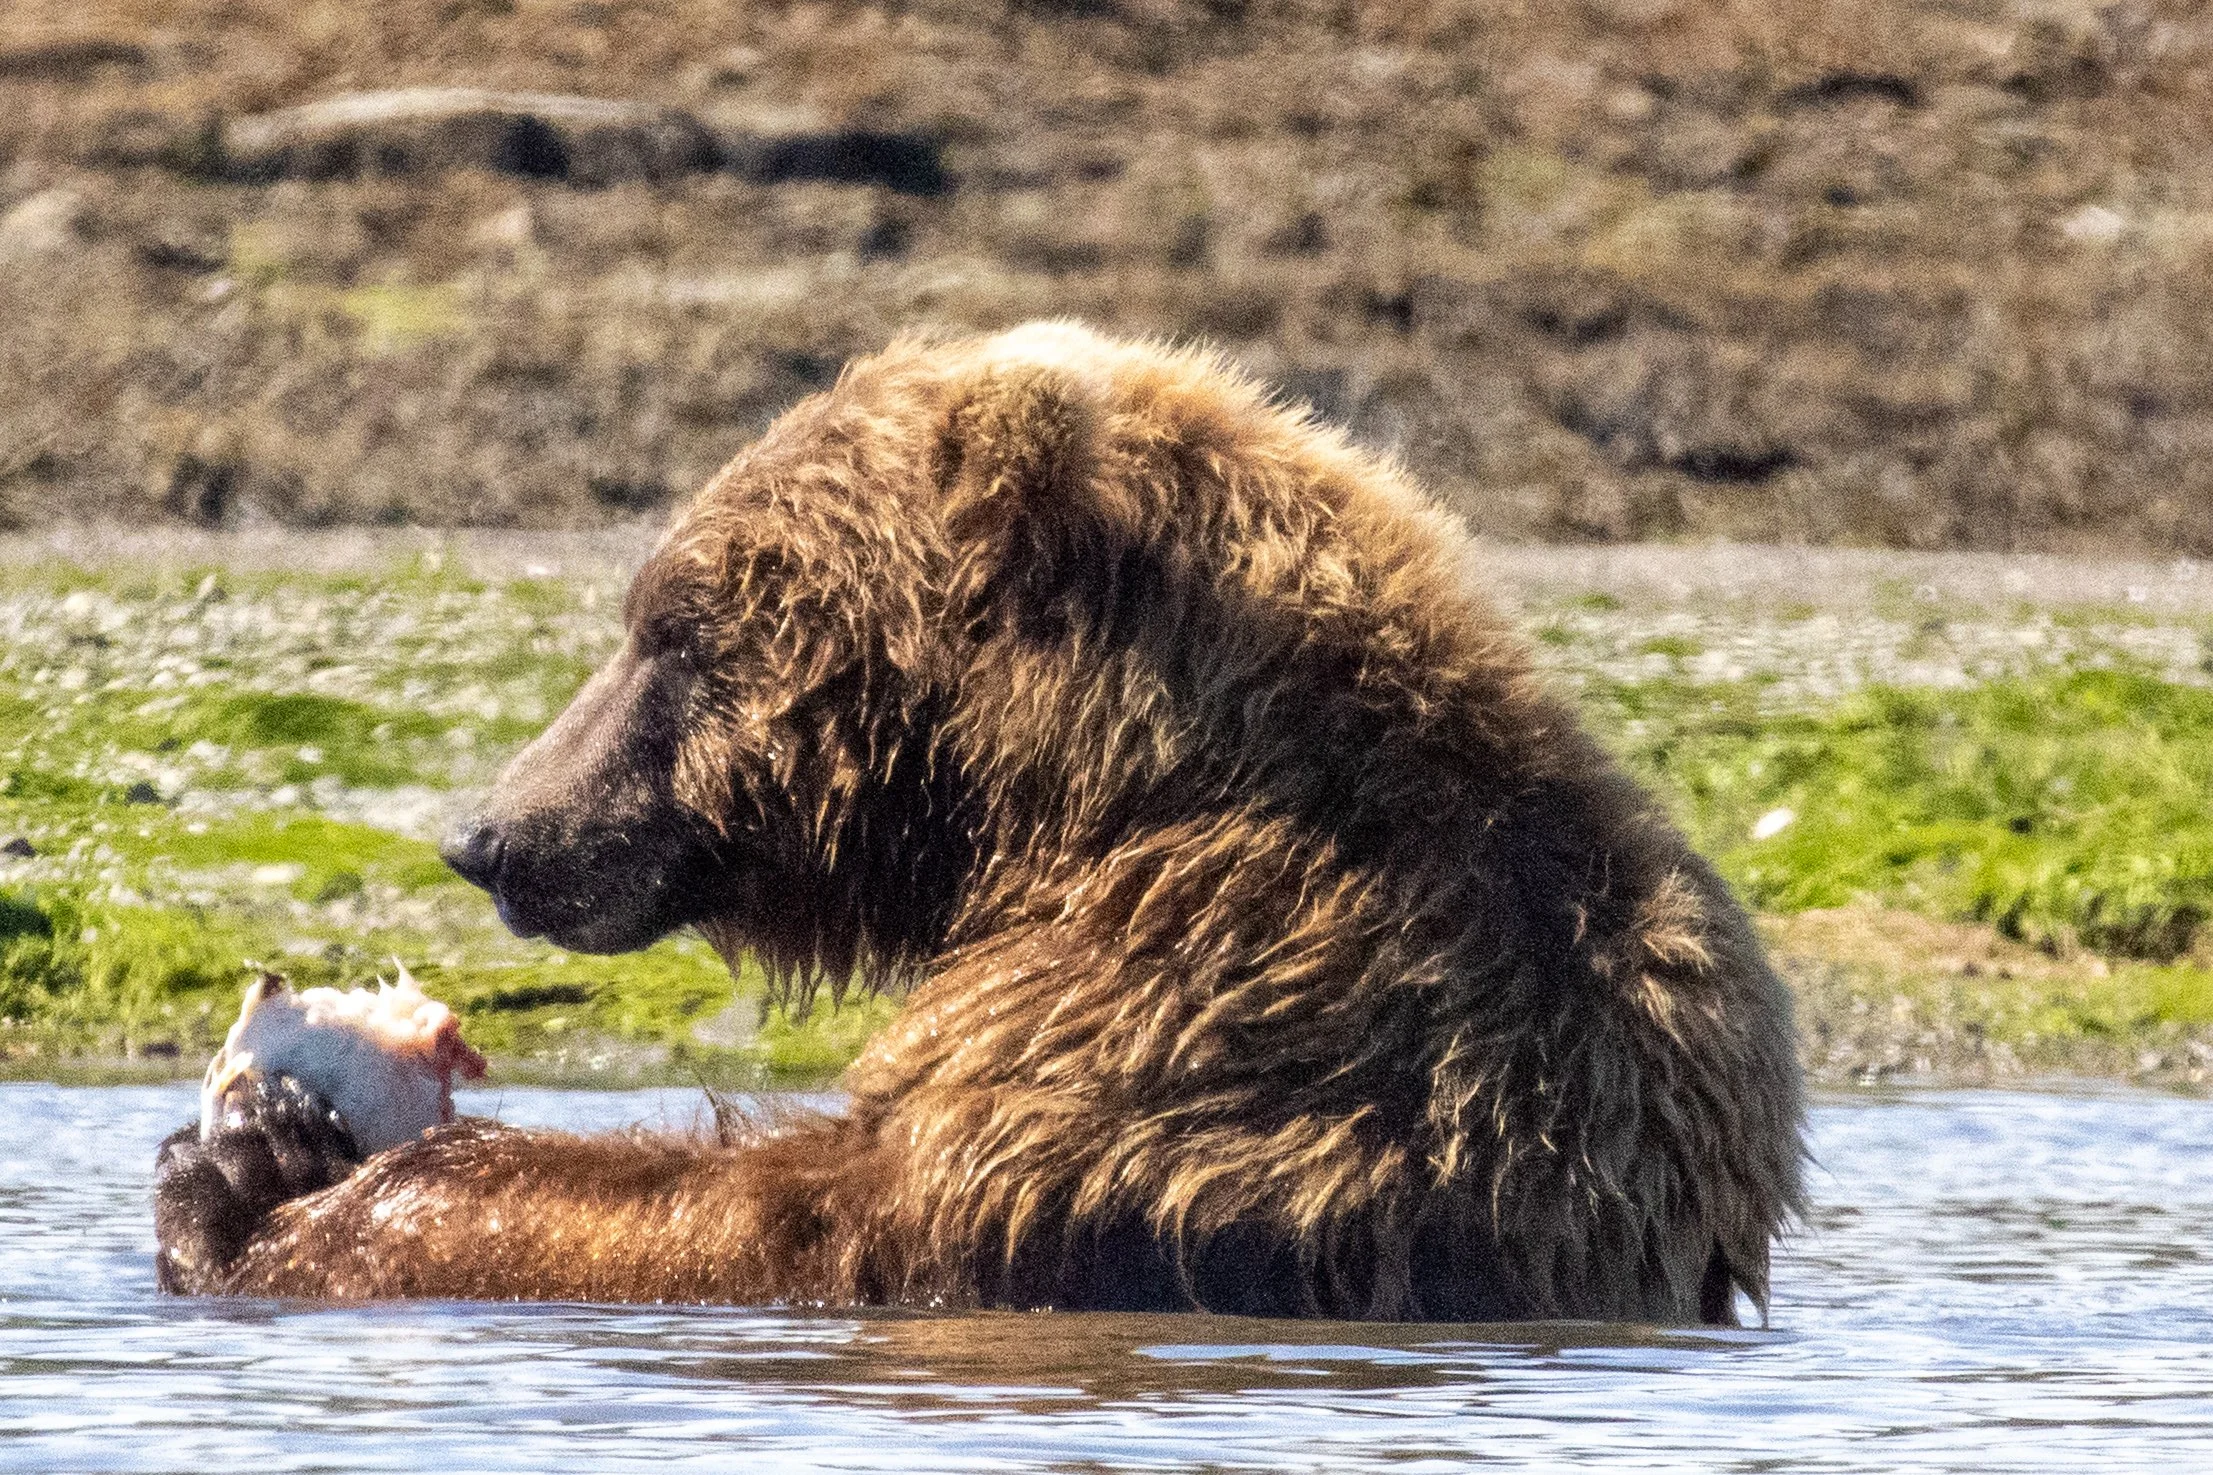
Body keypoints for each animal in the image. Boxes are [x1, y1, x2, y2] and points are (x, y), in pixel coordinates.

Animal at [154, 322, 1804, 1323]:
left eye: (673, 628)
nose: (490, 835)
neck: (1076, 800)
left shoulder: (1203, 1010)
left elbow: (818, 1213)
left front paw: (264, 1182)